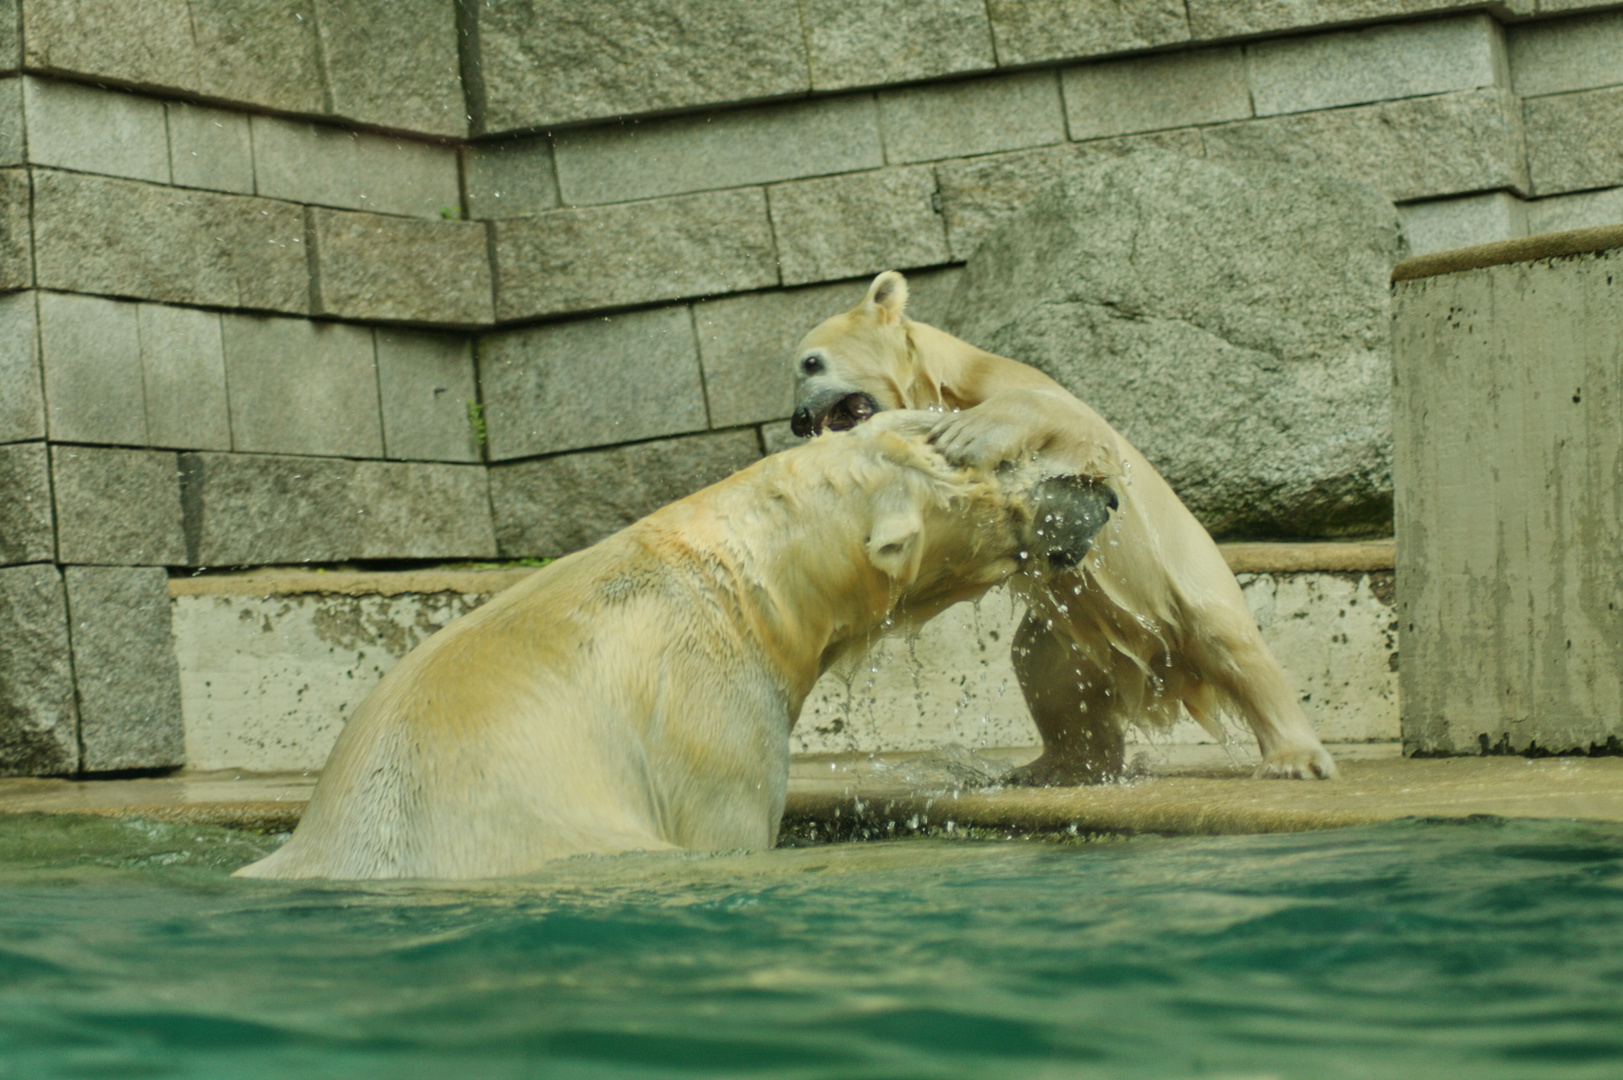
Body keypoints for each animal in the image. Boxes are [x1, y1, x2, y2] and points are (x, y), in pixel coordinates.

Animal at [792, 271, 1337, 782]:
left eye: (810, 363)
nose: (798, 418)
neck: (943, 382)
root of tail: (1163, 670)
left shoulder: (1012, 387)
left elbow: (1076, 427)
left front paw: (966, 435)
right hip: (1073, 636)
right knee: (1042, 669)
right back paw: (1055, 765)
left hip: (1186, 577)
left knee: (1233, 641)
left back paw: (1294, 757)